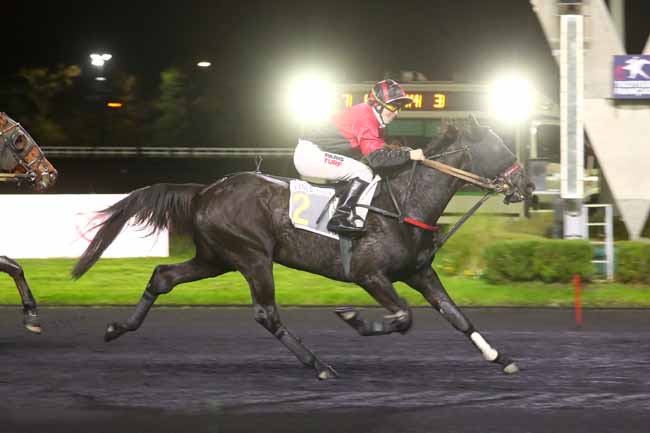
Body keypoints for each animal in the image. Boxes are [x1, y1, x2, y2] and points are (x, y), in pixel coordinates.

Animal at [73, 115, 536, 378]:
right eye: (498, 147)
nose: (528, 187)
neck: (403, 203)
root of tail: (206, 190)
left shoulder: (420, 273)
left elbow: (457, 317)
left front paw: (500, 357)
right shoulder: (370, 275)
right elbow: (403, 317)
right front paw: (354, 319)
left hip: (216, 257)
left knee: (163, 277)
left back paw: (118, 328)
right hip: (252, 257)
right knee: (266, 313)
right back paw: (319, 365)